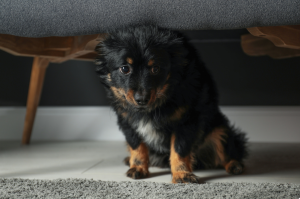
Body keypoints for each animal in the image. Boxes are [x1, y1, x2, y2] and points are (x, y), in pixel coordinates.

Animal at [95, 24, 247, 183]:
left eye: (155, 68)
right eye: (125, 68)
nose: (142, 99)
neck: (153, 107)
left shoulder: (187, 121)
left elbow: (179, 149)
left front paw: (182, 174)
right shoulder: (127, 122)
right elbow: (137, 146)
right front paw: (137, 167)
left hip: (220, 129)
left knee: (228, 151)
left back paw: (235, 165)